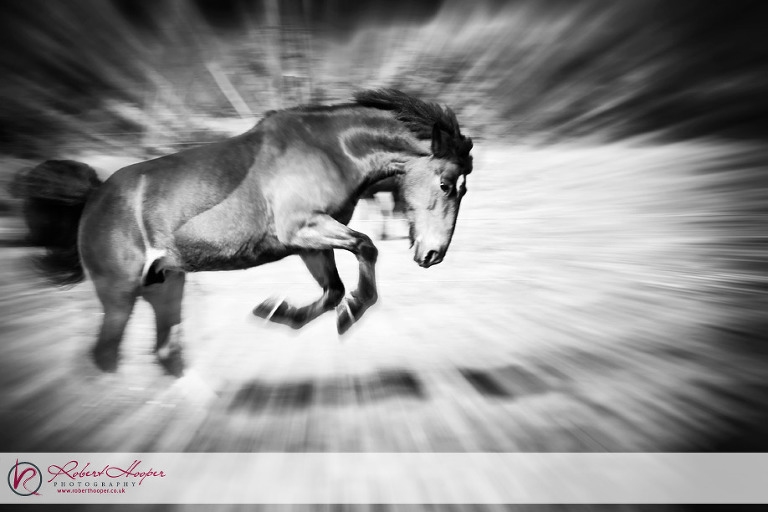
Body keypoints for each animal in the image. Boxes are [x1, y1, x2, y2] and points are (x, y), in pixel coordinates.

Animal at [18, 89, 474, 376]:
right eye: (446, 185)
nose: (434, 254)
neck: (333, 149)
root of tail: (96, 197)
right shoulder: (305, 228)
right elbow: (365, 249)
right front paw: (349, 312)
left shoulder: (310, 242)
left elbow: (333, 290)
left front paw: (281, 312)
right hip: (119, 295)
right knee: (106, 354)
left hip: (165, 287)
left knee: (164, 351)